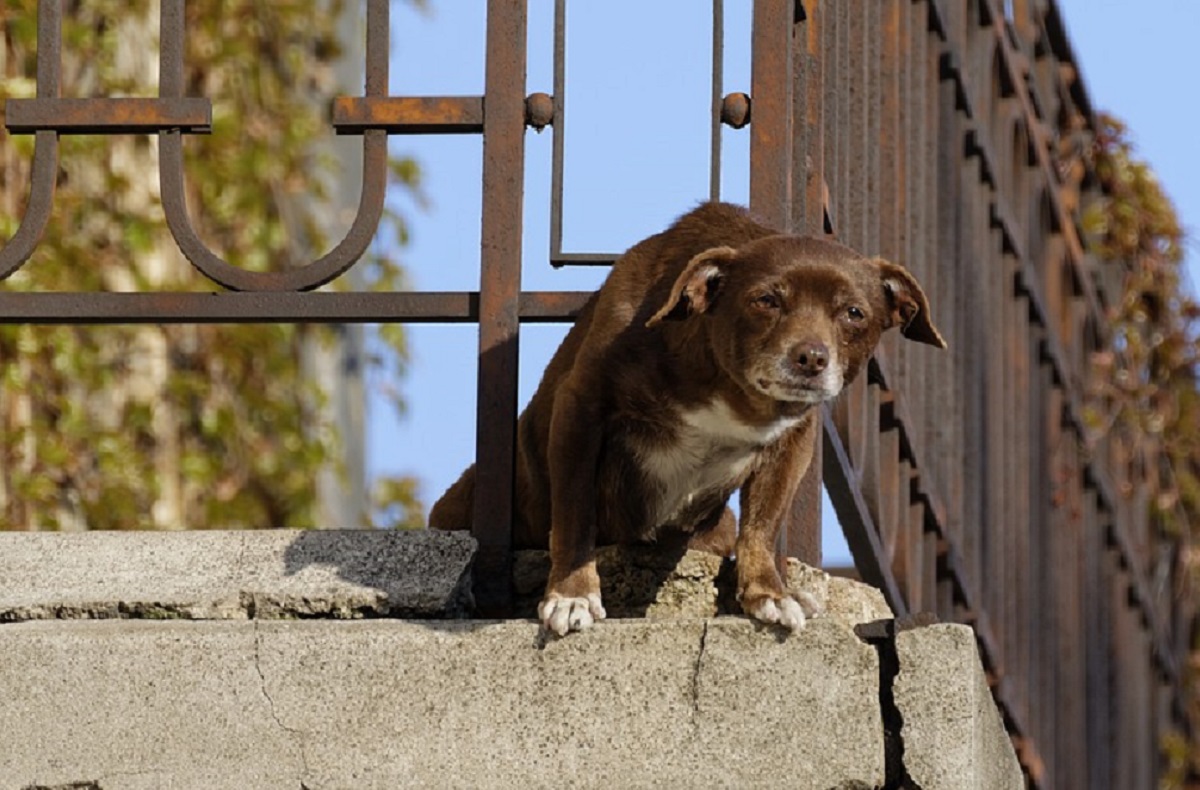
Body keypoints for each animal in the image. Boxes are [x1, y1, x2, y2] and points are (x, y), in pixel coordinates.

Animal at [432, 201, 945, 633]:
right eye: (766, 300)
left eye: (854, 313)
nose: (811, 357)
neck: (732, 392)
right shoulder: (580, 407)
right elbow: (575, 513)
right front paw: (573, 594)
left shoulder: (793, 442)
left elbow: (763, 523)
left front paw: (768, 593)